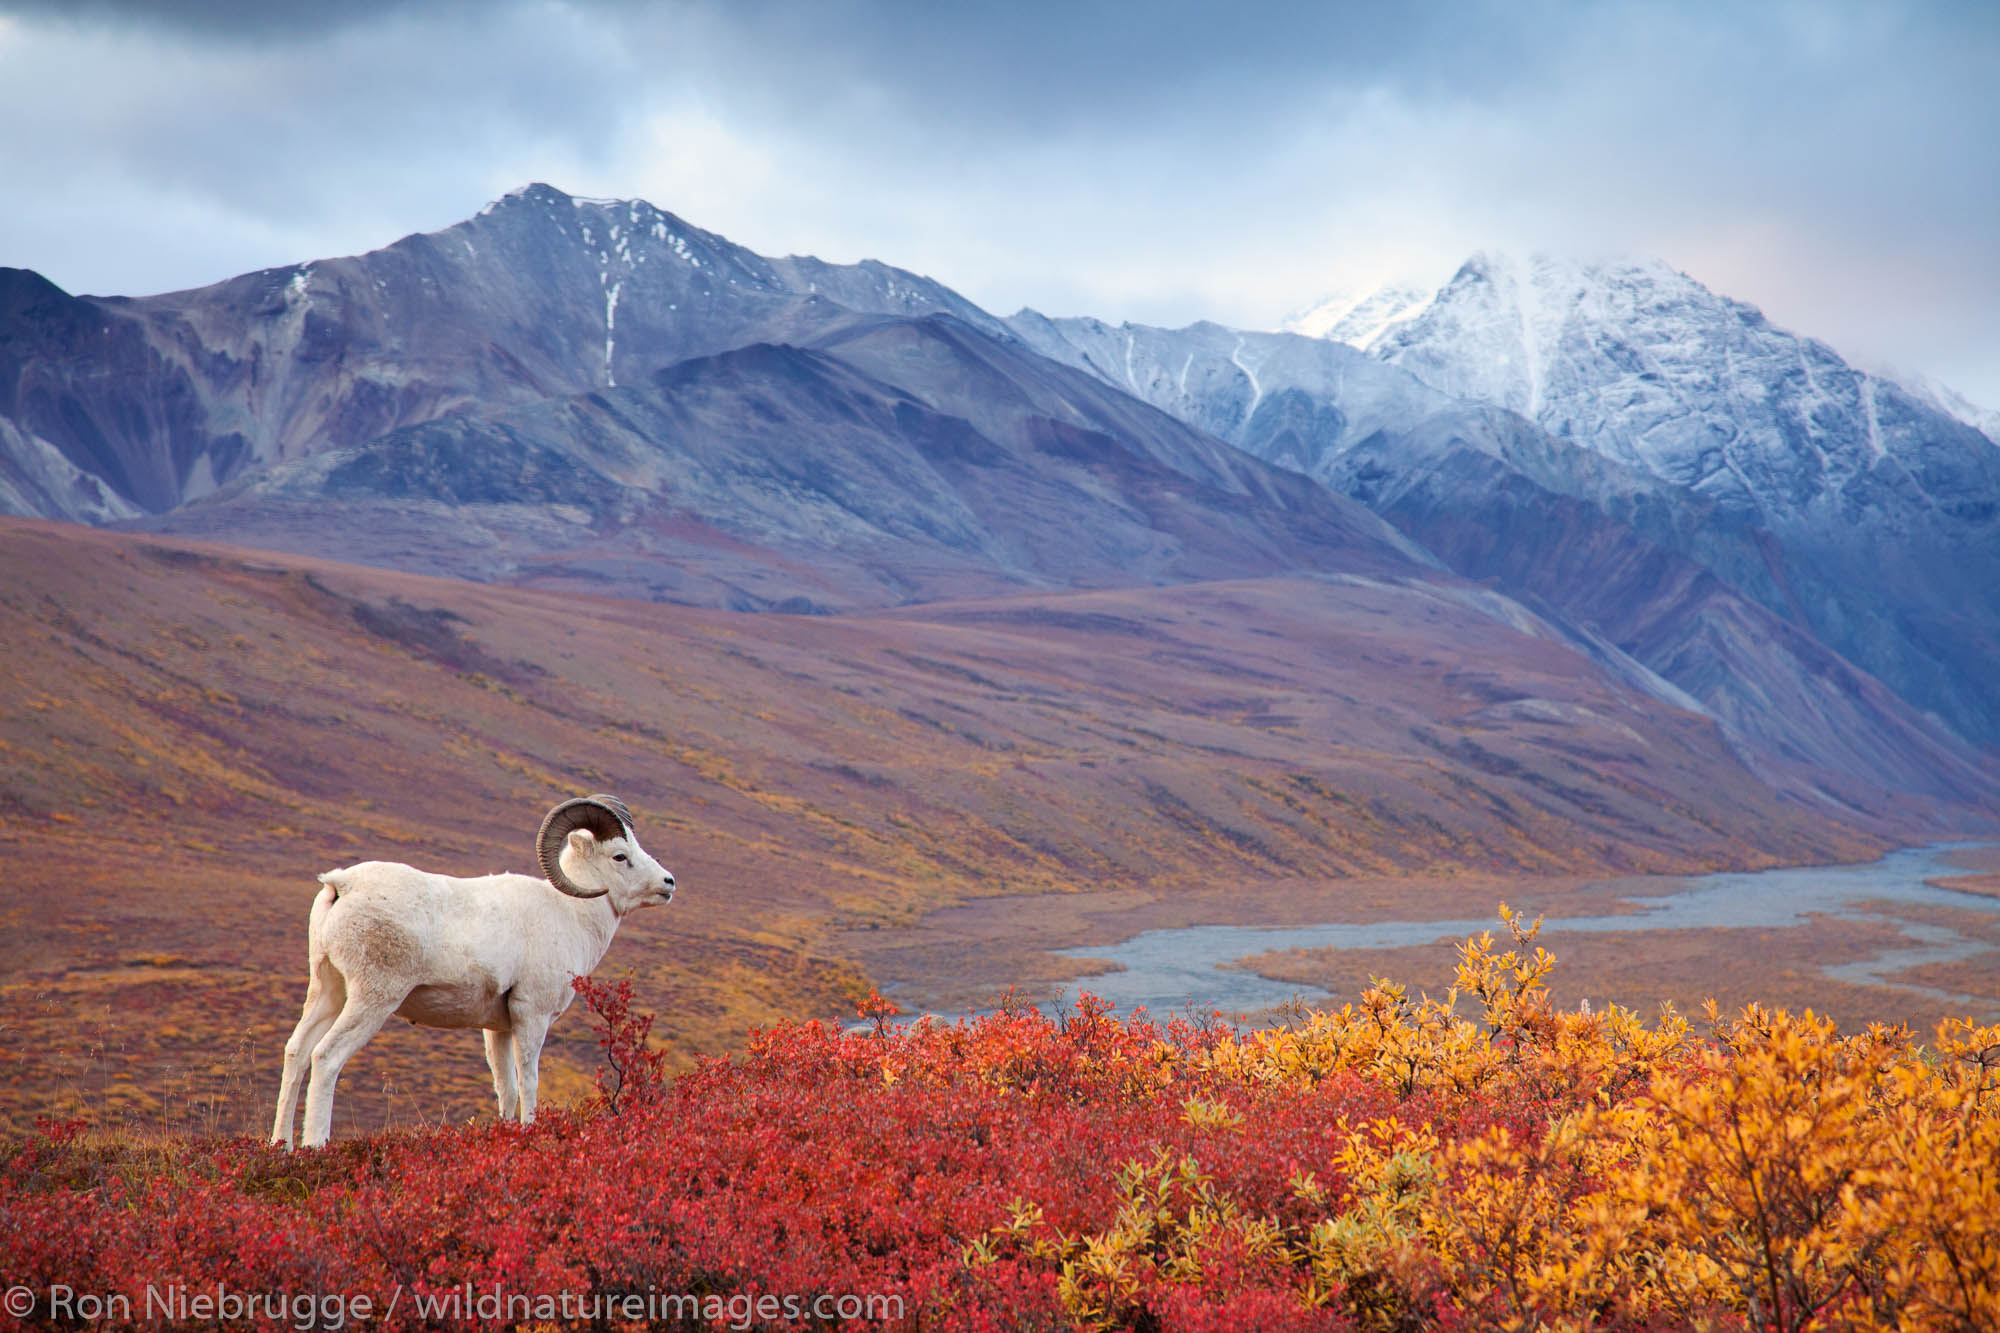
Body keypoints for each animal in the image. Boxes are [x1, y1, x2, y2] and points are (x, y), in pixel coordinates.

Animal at [270, 792, 676, 1144]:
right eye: (620, 856)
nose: (668, 883)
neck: (569, 913)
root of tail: (342, 886)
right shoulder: (531, 1015)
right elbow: (528, 1081)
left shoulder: (498, 1028)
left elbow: (506, 1089)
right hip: (371, 1000)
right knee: (325, 1058)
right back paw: (315, 1145)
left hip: (328, 991)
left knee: (297, 1052)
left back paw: (282, 1145)